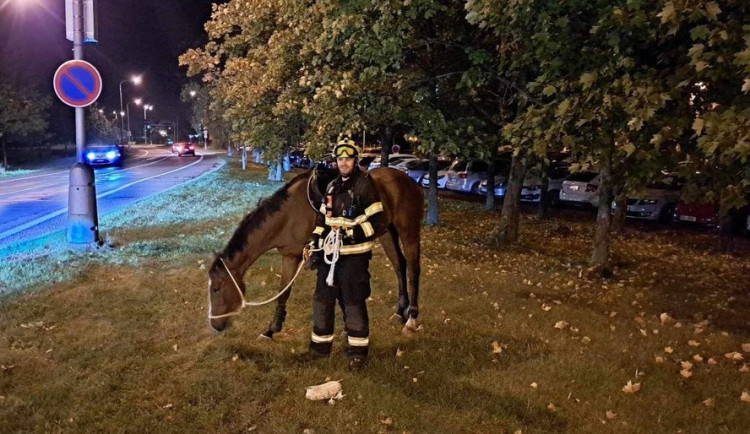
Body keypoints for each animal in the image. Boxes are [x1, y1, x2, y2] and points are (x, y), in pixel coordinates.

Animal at [209, 168, 426, 338]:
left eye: (216, 288)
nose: (214, 325)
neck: (288, 215)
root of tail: (410, 181)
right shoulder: (290, 255)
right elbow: (284, 292)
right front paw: (271, 330)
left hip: (409, 232)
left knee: (413, 269)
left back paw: (411, 319)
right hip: (388, 233)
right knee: (399, 266)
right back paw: (400, 311)